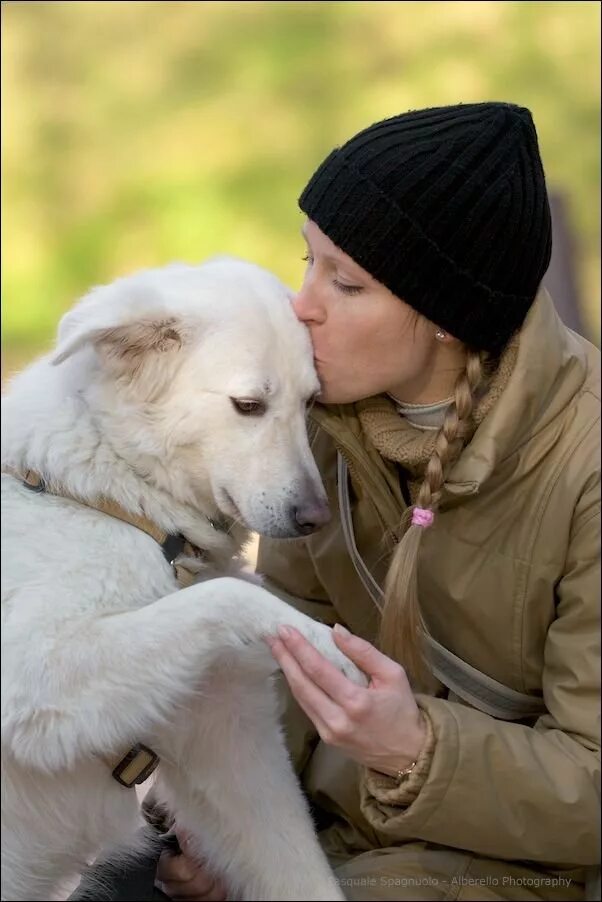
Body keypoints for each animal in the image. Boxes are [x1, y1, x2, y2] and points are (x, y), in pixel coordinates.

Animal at [1, 258, 360, 900]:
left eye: (310, 404)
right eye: (248, 405)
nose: (316, 519)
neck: (122, 499)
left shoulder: (232, 748)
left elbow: (304, 875)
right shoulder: (36, 677)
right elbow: (230, 594)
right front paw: (325, 645)